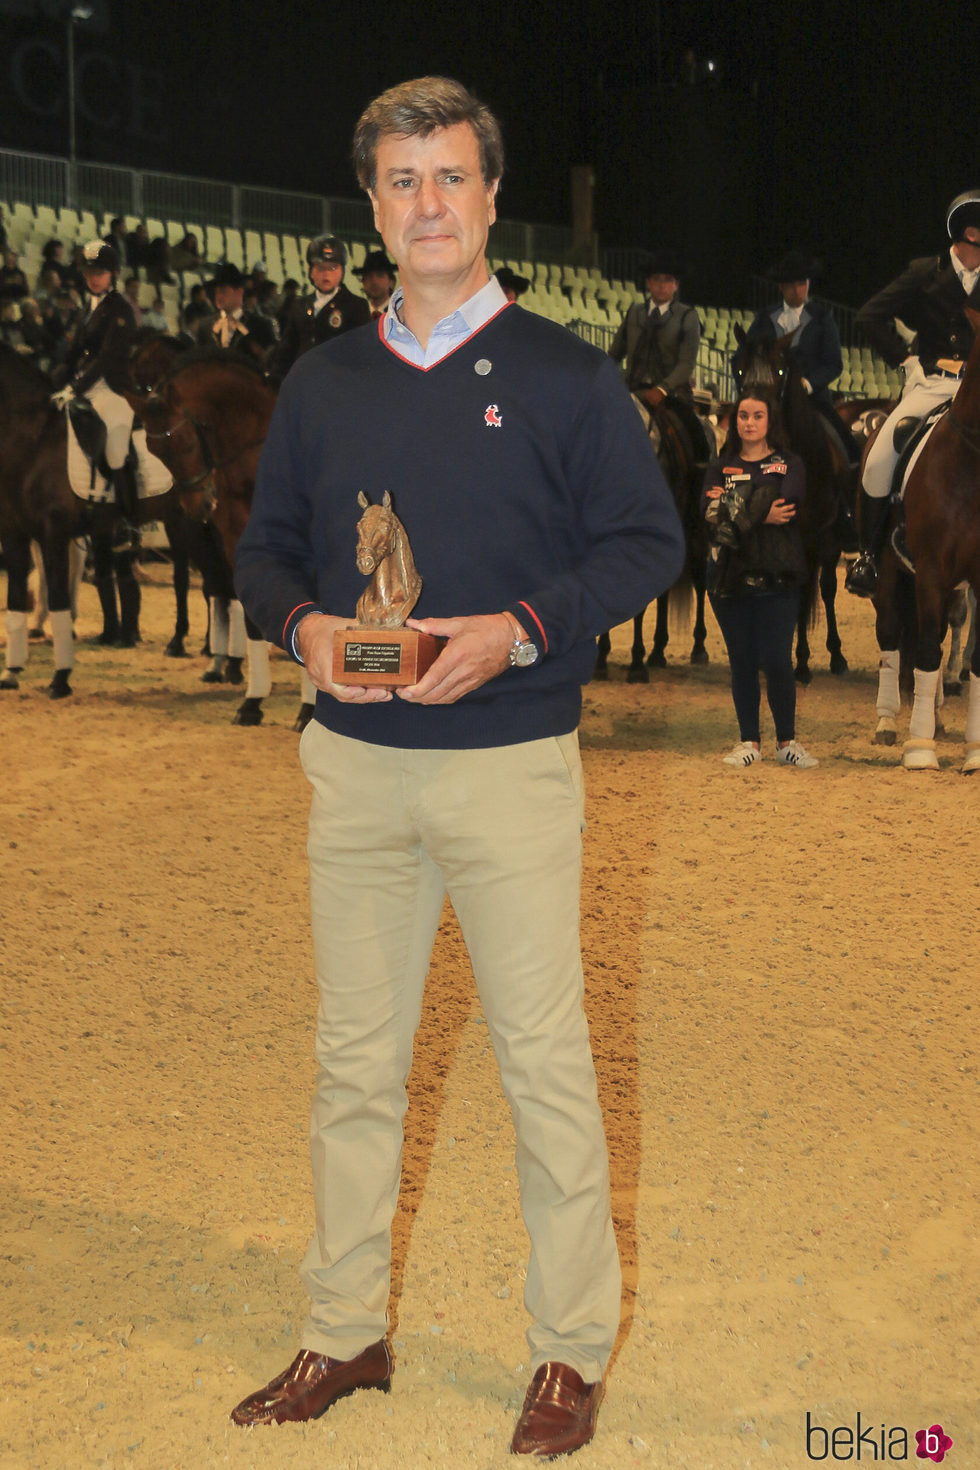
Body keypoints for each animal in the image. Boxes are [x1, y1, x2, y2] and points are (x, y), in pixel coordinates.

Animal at [0, 341, 172, 696]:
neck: (32, 441)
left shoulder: (53, 532)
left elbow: (58, 595)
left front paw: (60, 678)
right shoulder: (14, 533)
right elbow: (15, 598)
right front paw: (11, 671)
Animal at [593, 399, 708, 679]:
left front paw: (636, 664)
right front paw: (601, 659)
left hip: (695, 534)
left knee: (700, 582)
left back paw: (698, 648)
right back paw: (657, 651)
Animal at [731, 327, 852, 682]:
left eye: (782, 371)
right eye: (739, 370)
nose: (753, 414)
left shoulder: (816, 536)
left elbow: (813, 590)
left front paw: (806, 660)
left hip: (829, 541)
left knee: (825, 587)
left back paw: (835, 655)